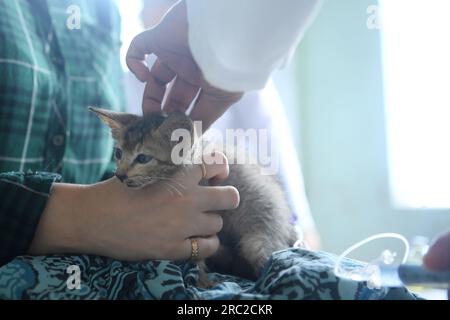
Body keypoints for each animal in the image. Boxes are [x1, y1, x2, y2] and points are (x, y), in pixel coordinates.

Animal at [89, 107, 300, 284]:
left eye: (143, 158)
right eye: (118, 153)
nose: (120, 175)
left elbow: (198, 259)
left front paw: (202, 283)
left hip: (258, 235)